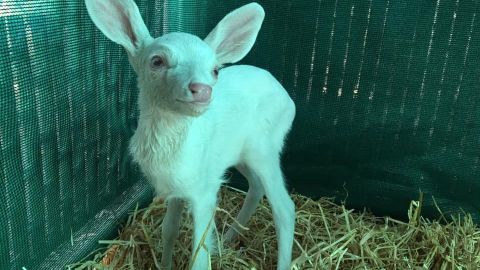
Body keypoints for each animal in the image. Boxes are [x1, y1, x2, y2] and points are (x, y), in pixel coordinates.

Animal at [86, 1, 296, 268]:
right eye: (157, 61)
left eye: (215, 70)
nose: (202, 90)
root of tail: (288, 100)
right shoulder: (176, 187)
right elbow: (169, 230)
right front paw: (165, 264)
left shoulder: (204, 192)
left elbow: (199, 256)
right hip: (239, 154)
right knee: (257, 187)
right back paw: (228, 237)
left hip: (265, 148)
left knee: (285, 208)